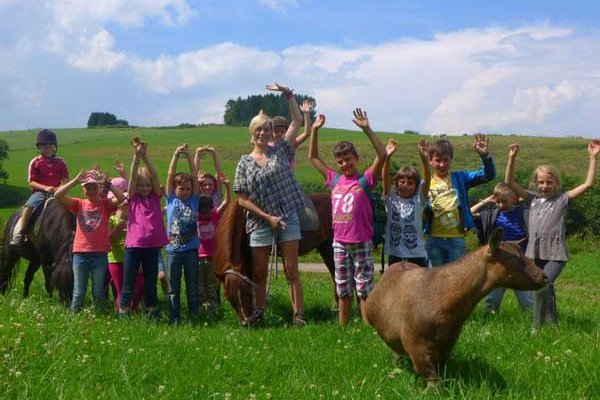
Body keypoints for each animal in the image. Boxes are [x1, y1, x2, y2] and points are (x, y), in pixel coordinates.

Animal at [214, 194, 338, 322]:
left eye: (246, 292)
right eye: (229, 298)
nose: (247, 323)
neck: (243, 219)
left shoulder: (249, 259)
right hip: (325, 247)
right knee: (334, 274)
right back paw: (335, 307)